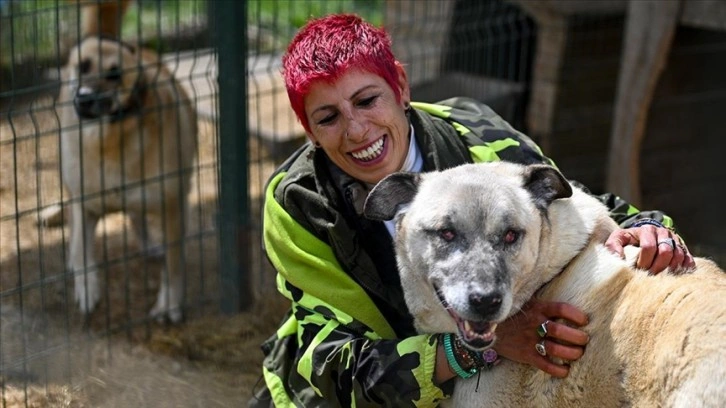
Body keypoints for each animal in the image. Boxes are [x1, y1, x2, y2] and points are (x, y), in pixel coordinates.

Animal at [58, 35, 198, 322]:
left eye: (115, 74)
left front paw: (169, 302)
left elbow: (173, 262)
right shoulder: (84, 206)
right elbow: (83, 251)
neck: (110, 142)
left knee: (137, 217)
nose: (85, 98)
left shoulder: (172, 207)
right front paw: (87, 289)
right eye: (83, 65)